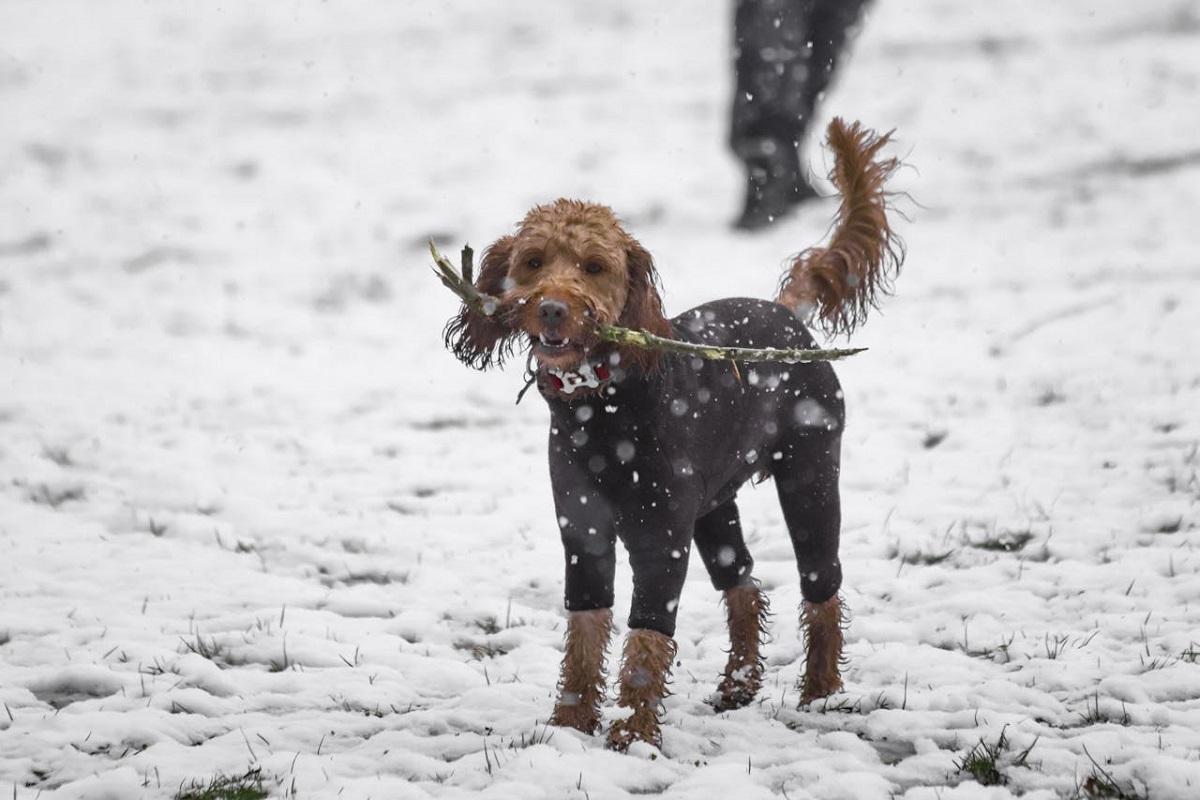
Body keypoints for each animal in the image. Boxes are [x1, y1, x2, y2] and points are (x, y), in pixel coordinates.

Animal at [441, 118, 902, 753]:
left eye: (594, 266)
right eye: (533, 261)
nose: (553, 309)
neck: (605, 402)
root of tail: (787, 315)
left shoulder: (662, 539)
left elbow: (645, 639)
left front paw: (634, 734)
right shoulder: (583, 532)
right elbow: (585, 633)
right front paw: (570, 724)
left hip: (810, 476)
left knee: (822, 587)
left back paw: (821, 691)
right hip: (714, 507)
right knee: (743, 583)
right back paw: (739, 684)